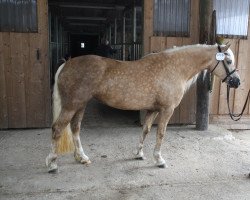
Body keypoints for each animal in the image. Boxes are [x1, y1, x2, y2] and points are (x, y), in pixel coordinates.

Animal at [45, 44, 240, 173]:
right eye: (229, 60)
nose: (236, 82)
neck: (174, 68)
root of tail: (67, 64)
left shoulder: (152, 110)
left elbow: (145, 130)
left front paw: (139, 153)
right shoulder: (166, 110)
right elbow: (161, 133)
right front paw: (159, 159)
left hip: (80, 105)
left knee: (75, 129)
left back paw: (82, 158)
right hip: (72, 105)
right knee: (58, 129)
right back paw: (53, 163)